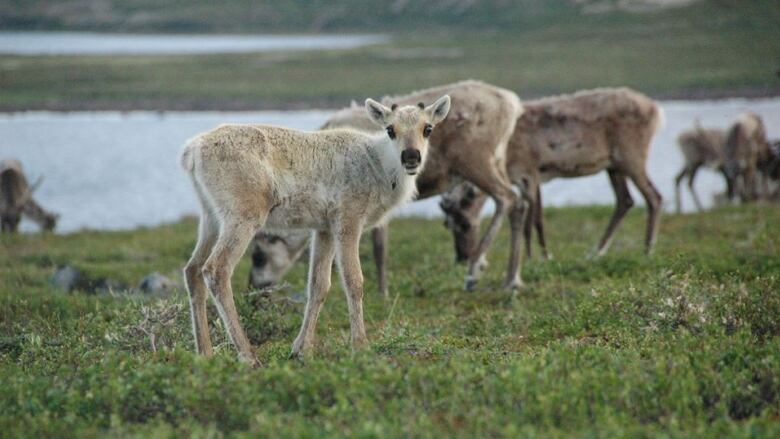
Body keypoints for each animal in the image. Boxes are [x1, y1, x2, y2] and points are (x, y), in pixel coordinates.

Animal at [182, 95, 450, 364]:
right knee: (216, 269)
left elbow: (318, 285)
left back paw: (204, 353)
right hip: (243, 217)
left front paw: (302, 348)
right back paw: (248, 356)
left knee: (192, 269)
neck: (379, 165)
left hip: (211, 216)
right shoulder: (348, 220)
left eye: (428, 128)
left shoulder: (324, 228)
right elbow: (353, 281)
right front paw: (360, 345)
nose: (411, 156)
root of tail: (192, 150)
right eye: (390, 129)